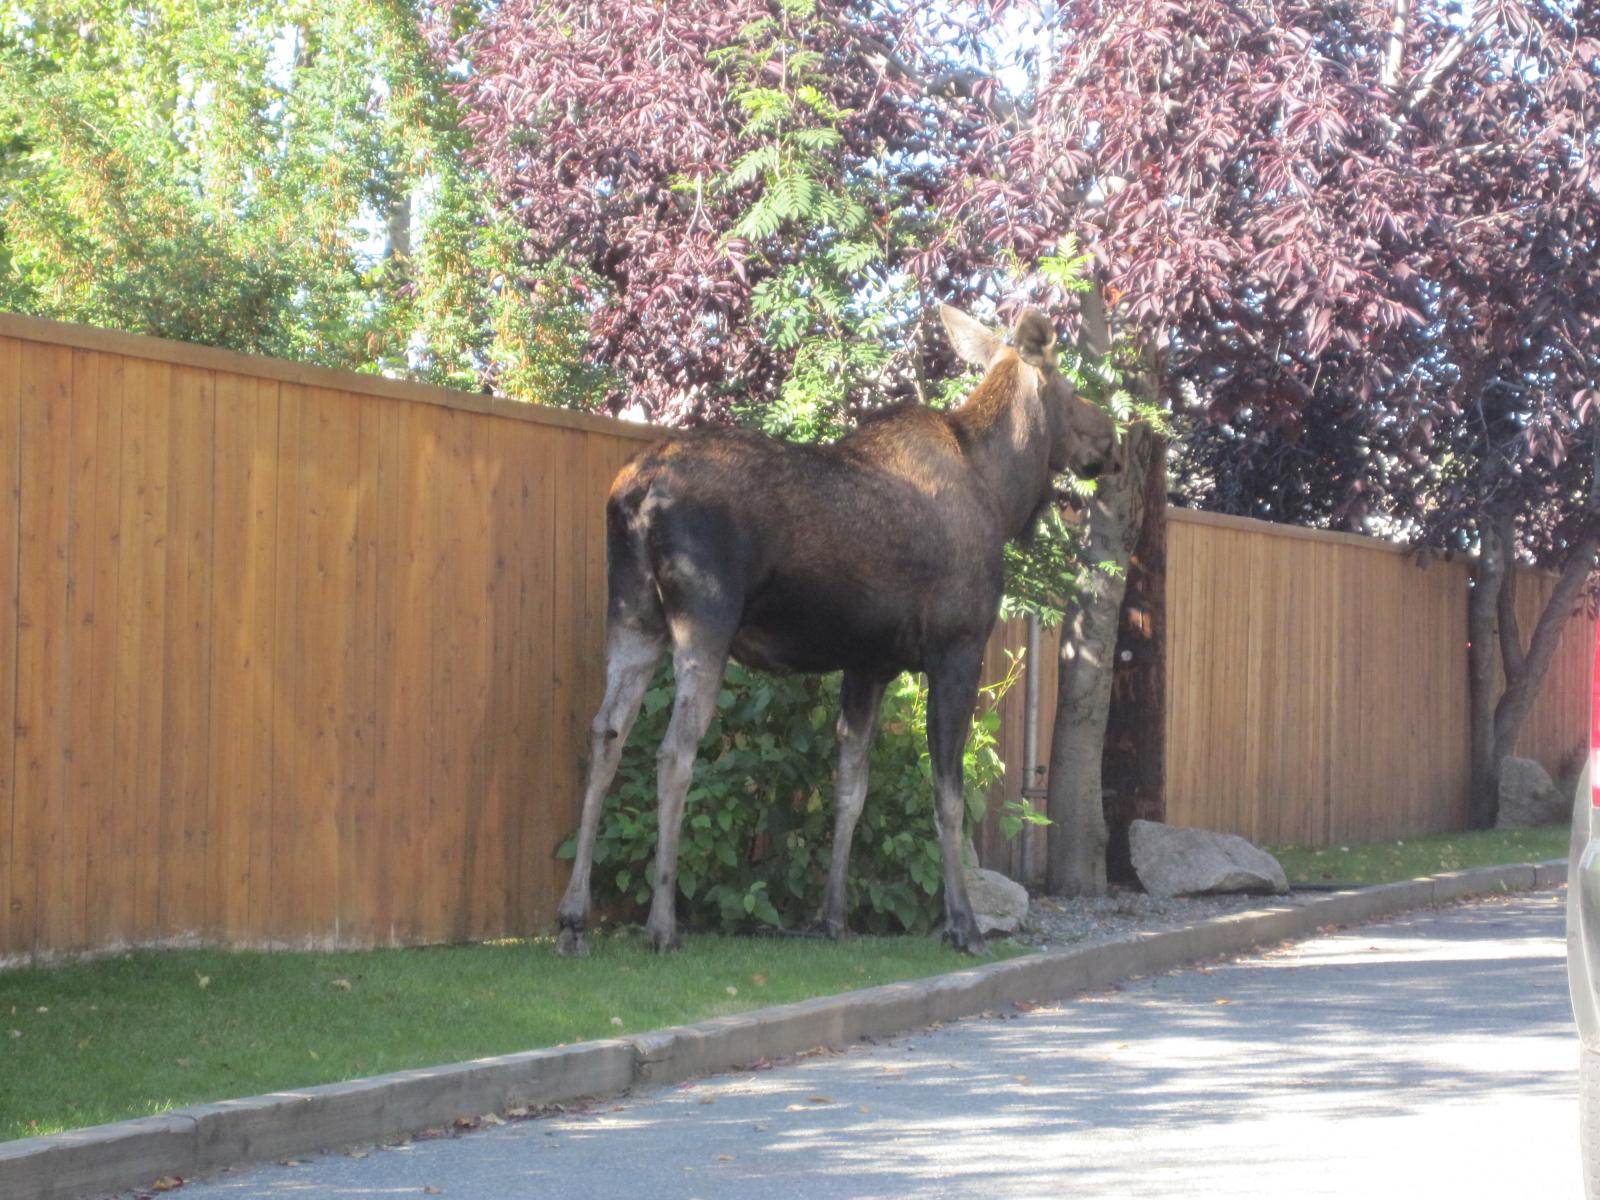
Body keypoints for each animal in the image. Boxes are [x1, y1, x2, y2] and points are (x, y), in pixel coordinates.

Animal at [556, 302, 1120, 960]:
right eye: (1072, 385)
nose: (1111, 440)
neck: (1003, 495)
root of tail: (634, 493)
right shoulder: (957, 648)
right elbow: (947, 794)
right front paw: (962, 923)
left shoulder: (868, 663)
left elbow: (851, 787)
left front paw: (832, 917)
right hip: (705, 618)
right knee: (675, 750)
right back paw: (661, 925)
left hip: (633, 615)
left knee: (606, 733)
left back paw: (573, 918)